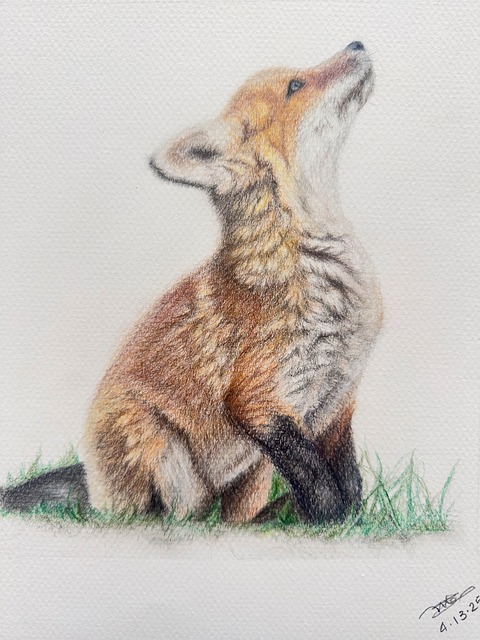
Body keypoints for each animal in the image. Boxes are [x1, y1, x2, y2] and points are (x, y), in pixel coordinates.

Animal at [1, 41, 382, 525]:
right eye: (296, 85)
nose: (357, 43)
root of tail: (93, 485)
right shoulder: (257, 400)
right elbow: (320, 485)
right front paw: (327, 521)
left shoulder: (337, 402)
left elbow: (348, 481)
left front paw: (350, 519)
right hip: (156, 444)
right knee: (173, 517)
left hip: (253, 473)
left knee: (231, 515)